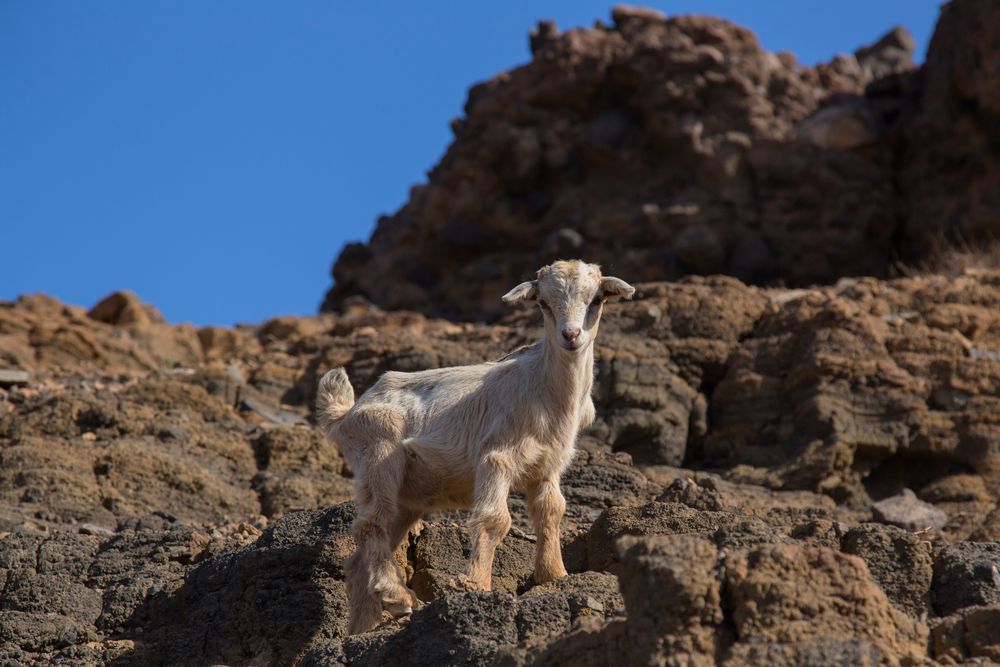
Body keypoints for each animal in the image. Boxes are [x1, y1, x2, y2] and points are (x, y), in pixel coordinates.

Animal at [316, 258, 636, 636]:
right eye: (544, 303)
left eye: (597, 300)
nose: (571, 336)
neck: (545, 389)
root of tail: (346, 414)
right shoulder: (496, 456)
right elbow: (495, 518)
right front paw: (475, 584)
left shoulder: (547, 467)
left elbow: (552, 510)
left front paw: (554, 576)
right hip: (378, 455)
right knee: (371, 524)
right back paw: (397, 596)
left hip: (408, 495)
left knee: (359, 558)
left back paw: (364, 625)